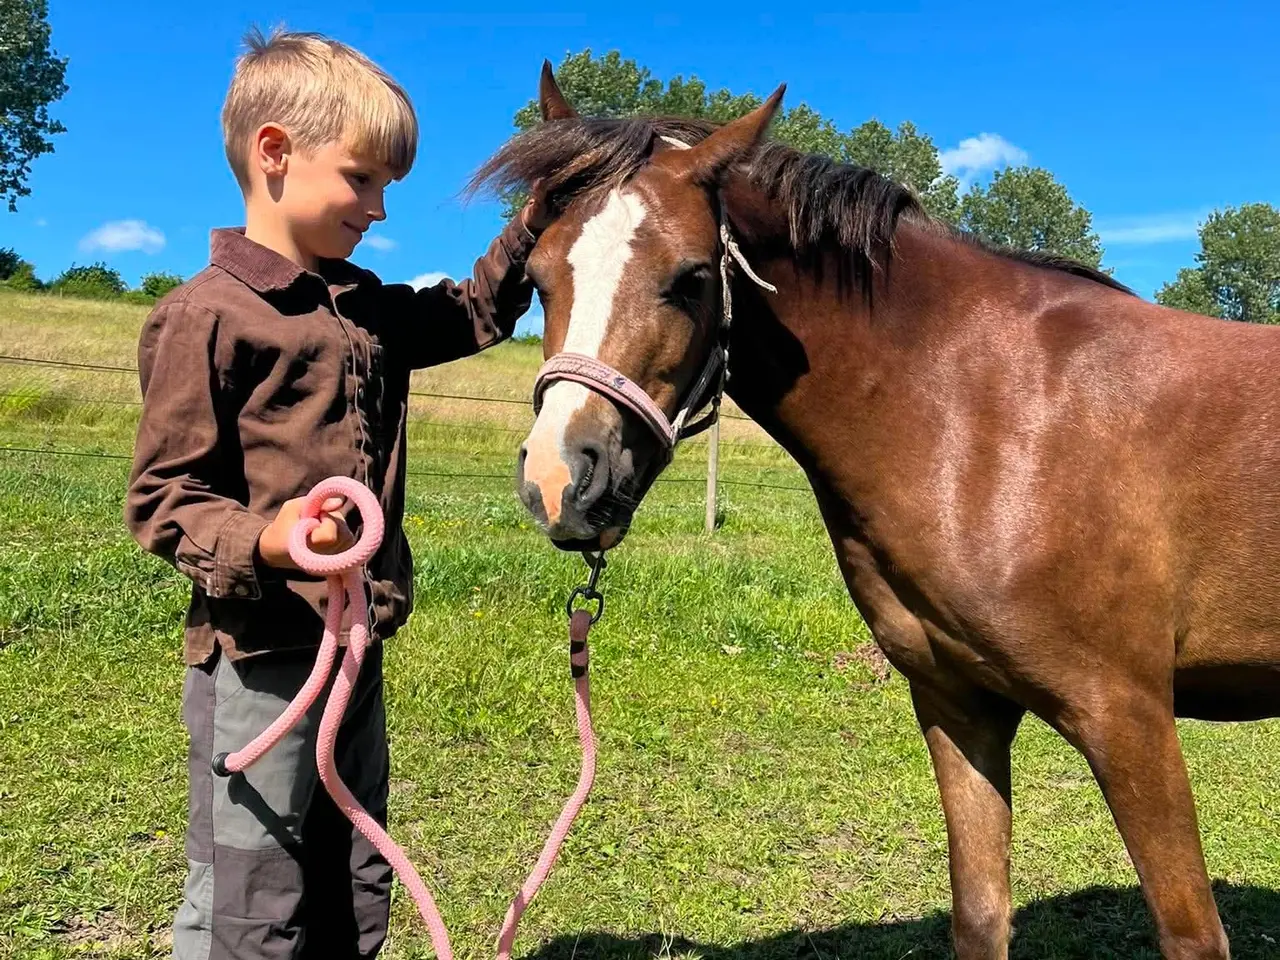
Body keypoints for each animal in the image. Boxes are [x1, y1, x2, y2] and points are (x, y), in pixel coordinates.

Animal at [471, 63, 1280, 959]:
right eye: (538, 278)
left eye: (690, 279)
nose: (560, 481)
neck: (987, 410)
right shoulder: (959, 703)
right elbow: (980, 915)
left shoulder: (1128, 715)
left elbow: (1191, 932)